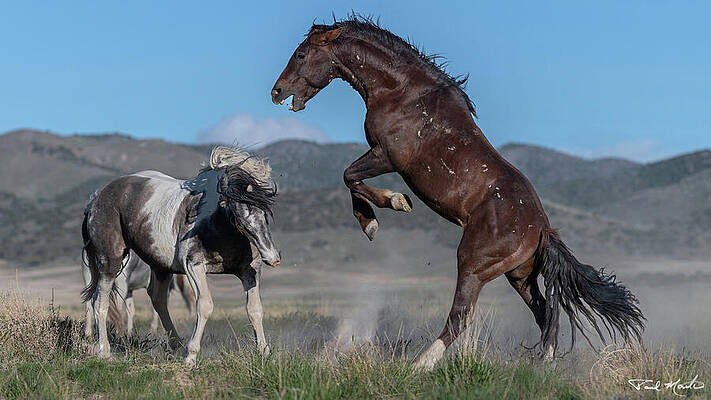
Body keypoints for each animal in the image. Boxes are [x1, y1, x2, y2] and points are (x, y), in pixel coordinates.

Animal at [81, 146, 281, 365]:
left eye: (265, 212)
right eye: (238, 216)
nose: (272, 258)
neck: (216, 223)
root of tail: (95, 200)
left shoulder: (249, 271)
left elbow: (254, 309)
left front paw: (264, 352)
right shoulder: (194, 267)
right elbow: (204, 306)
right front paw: (191, 356)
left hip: (160, 267)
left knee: (158, 300)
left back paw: (176, 345)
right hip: (110, 263)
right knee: (100, 302)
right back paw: (104, 350)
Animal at [271, 16, 644, 370]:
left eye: (301, 54)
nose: (276, 92)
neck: (402, 91)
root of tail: (541, 228)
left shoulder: (388, 156)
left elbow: (349, 175)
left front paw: (394, 205)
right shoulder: (379, 155)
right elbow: (350, 181)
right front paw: (372, 223)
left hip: (473, 265)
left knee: (462, 316)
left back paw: (420, 365)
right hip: (519, 275)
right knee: (544, 313)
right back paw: (544, 363)